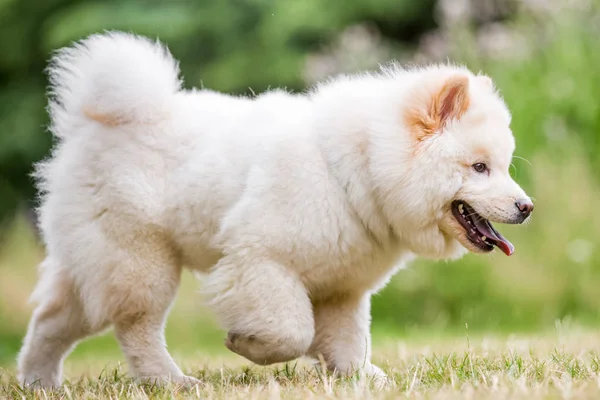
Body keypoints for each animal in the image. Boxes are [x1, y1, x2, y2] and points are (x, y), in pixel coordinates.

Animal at [17, 32, 536, 388]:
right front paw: (248, 345)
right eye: (479, 167)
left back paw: (38, 382)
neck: (355, 172)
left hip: (94, 263)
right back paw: (171, 381)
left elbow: (350, 340)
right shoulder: (260, 260)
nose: (527, 206)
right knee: (136, 328)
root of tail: (94, 122)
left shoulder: (343, 287)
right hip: (141, 262)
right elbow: (292, 330)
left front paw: (362, 377)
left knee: (51, 321)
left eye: (505, 167)